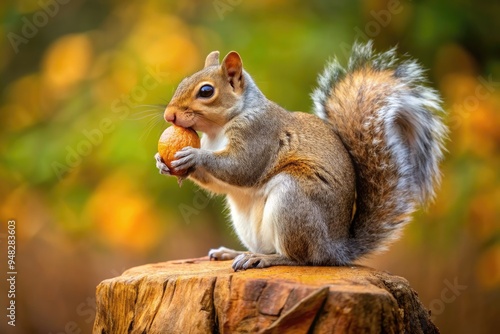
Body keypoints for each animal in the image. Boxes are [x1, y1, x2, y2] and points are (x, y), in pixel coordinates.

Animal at [154, 41, 448, 272]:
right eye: (183, 82)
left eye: (206, 91)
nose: (169, 115)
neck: (218, 130)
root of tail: (335, 247)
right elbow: (218, 183)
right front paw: (163, 163)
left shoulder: (259, 135)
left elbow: (242, 168)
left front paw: (194, 156)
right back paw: (236, 253)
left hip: (293, 199)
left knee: (301, 258)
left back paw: (264, 259)